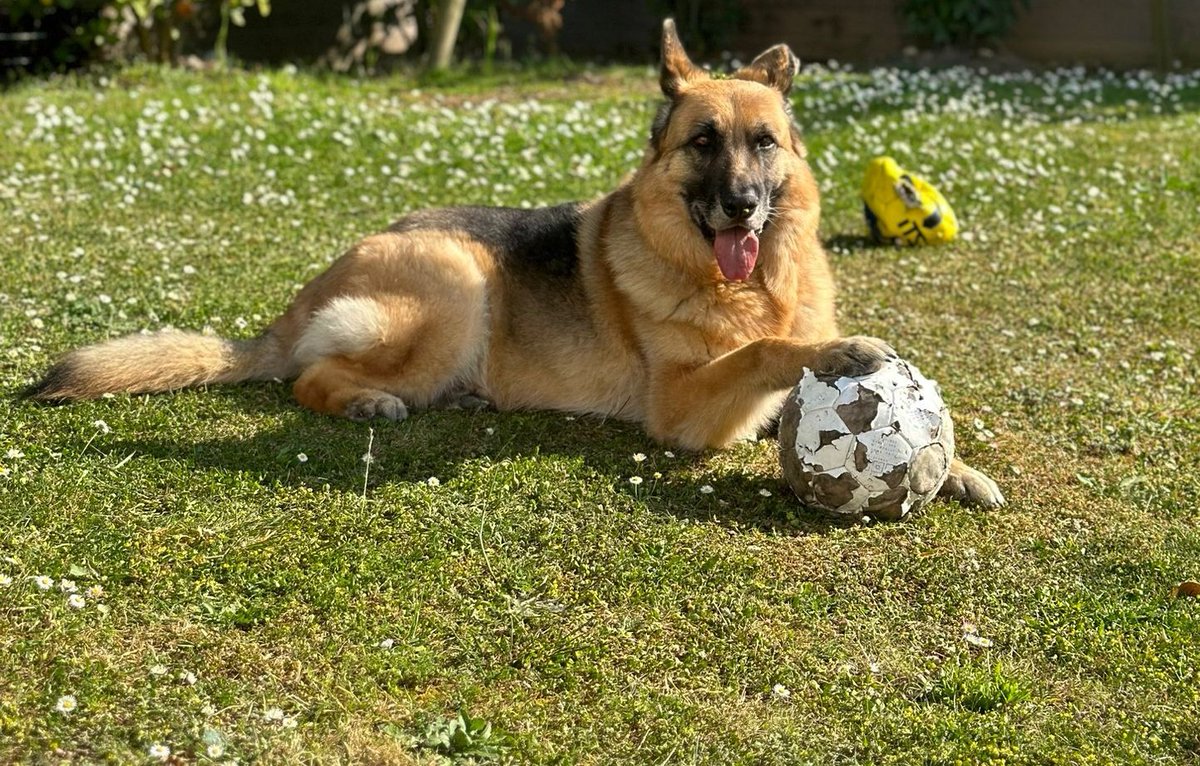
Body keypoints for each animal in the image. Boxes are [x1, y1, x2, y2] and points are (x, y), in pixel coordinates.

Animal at [28, 21, 1003, 509]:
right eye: (703, 143)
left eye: (763, 144)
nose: (742, 207)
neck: (748, 286)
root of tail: (302, 298)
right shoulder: (687, 410)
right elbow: (769, 353)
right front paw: (838, 354)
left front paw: (945, 469)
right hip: (459, 278)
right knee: (308, 378)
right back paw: (368, 401)